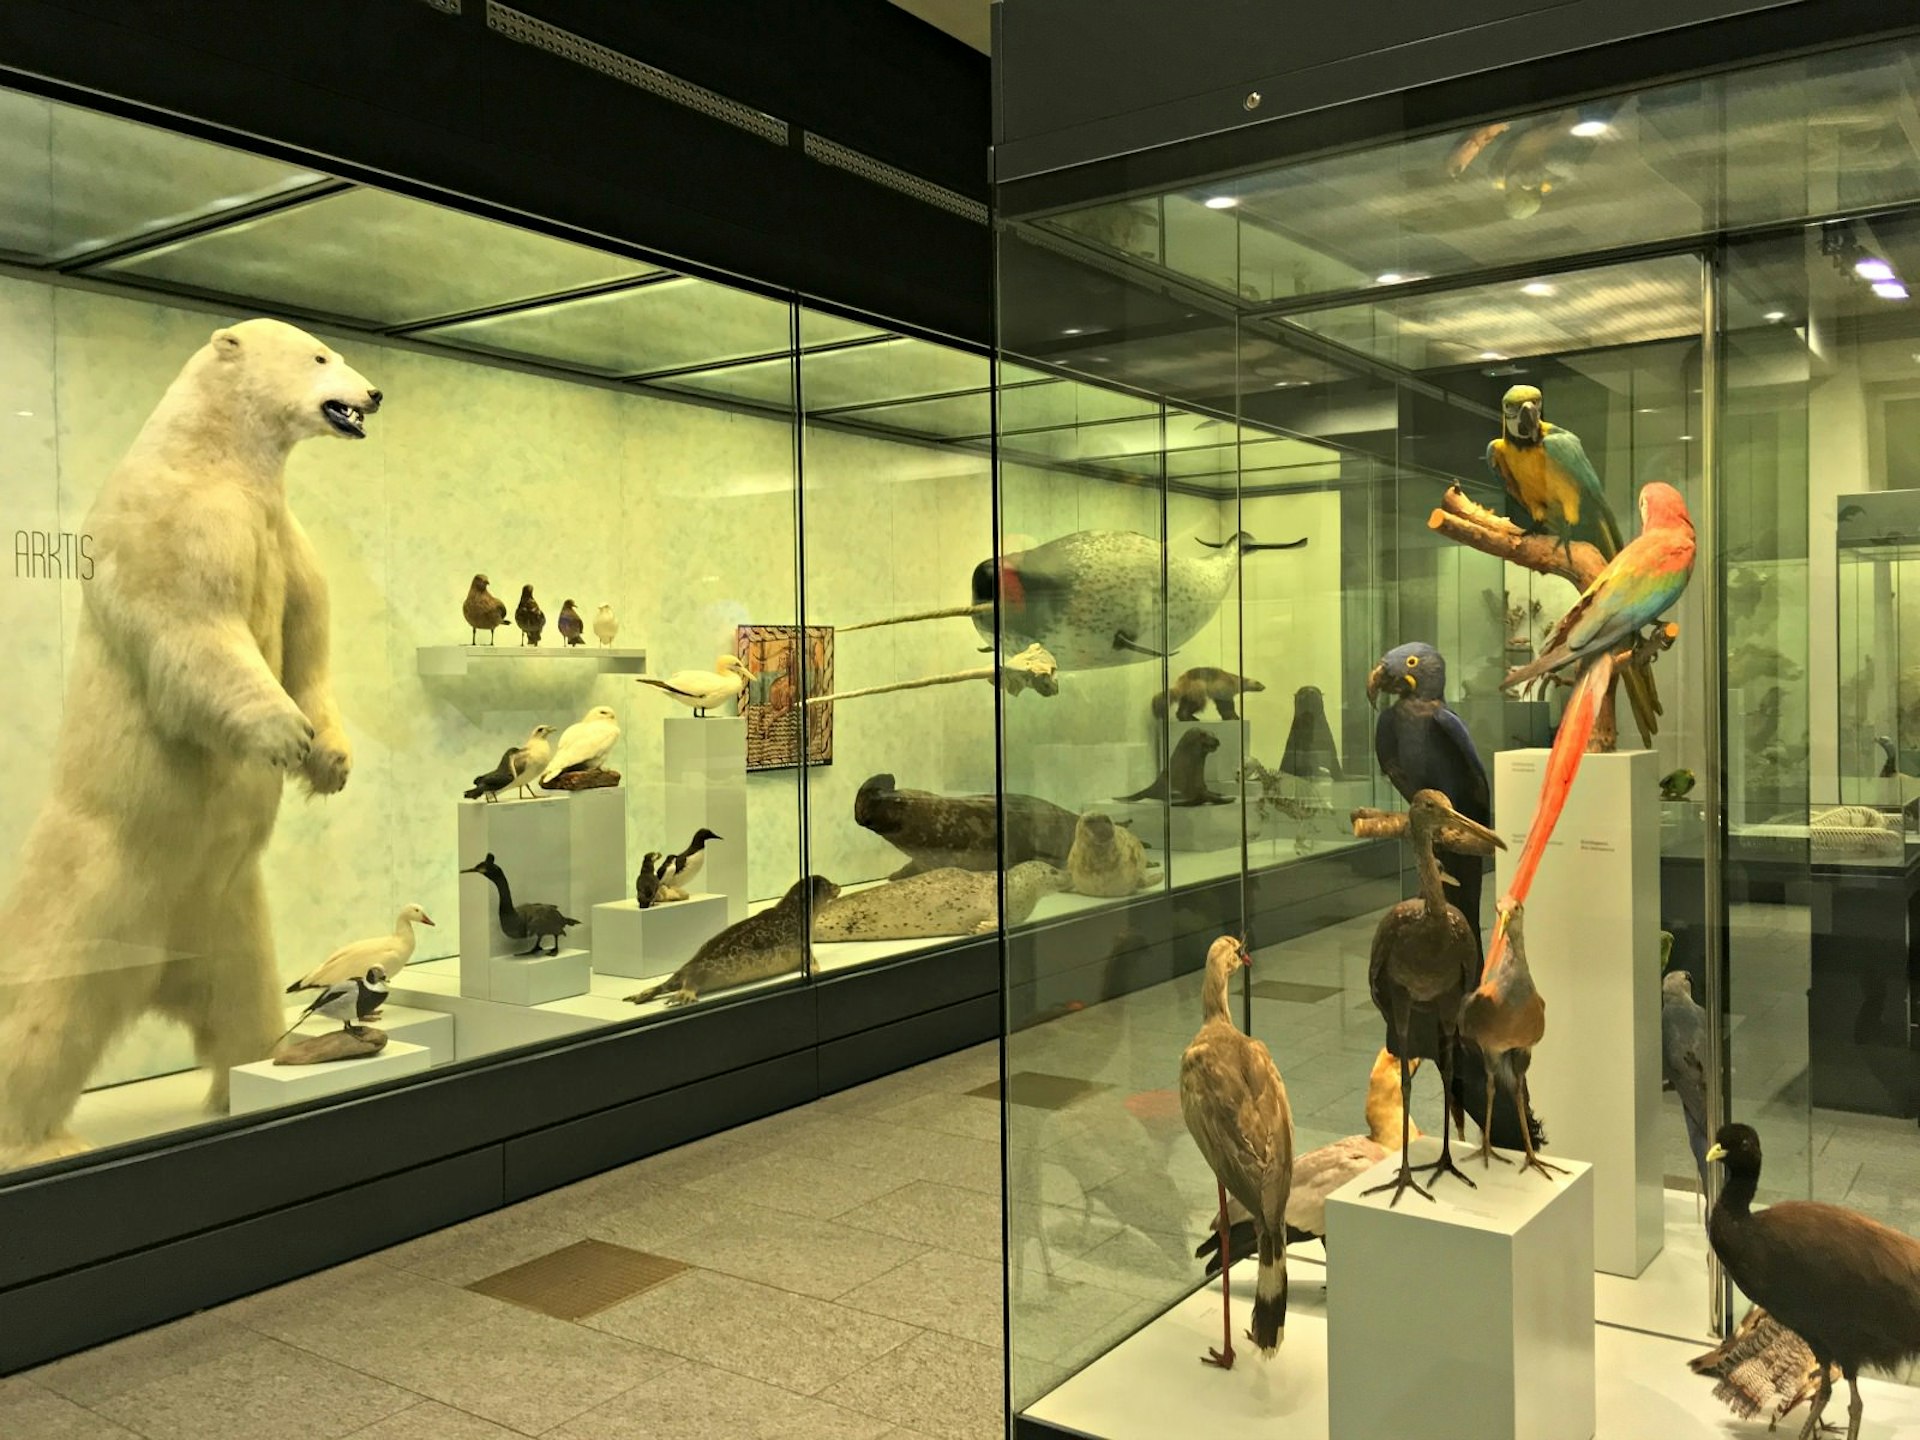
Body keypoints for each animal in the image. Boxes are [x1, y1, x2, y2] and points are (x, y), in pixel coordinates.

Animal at [0, 318, 378, 1175]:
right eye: (320, 355)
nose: (374, 393)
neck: (219, 454)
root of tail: (151, 970)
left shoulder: (285, 536)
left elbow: (308, 639)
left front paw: (331, 759)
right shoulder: (175, 517)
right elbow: (196, 624)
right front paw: (288, 735)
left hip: (225, 911)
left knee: (243, 1003)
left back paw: (266, 1071)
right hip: (88, 894)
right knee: (38, 1019)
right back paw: (42, 1141)